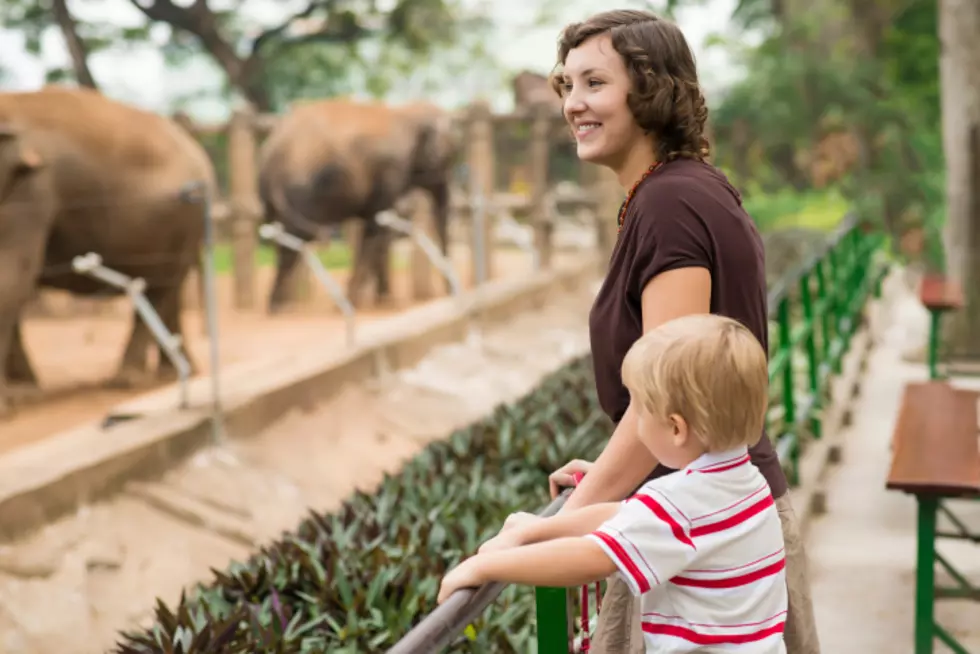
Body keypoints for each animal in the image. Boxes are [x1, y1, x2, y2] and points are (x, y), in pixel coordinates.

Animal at [0, 86, 216, 416]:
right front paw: (25, 394)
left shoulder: (31, 189)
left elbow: (12, 276)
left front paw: (11, 402)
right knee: (171, 288)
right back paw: (174, 372)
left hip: (185, 220)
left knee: (158, 286)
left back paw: (127, 380)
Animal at [258, 96, 462, 314]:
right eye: (448, 160)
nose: (450, 294)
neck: (405, 111)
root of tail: (273, 150)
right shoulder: (392, 170)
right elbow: (377, 228)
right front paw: (354, 304)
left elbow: (380, 230)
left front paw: (382, 301)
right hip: (301, 187)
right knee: (295, 237)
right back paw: (279, 307)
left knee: (284, 236)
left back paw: (280, 304)